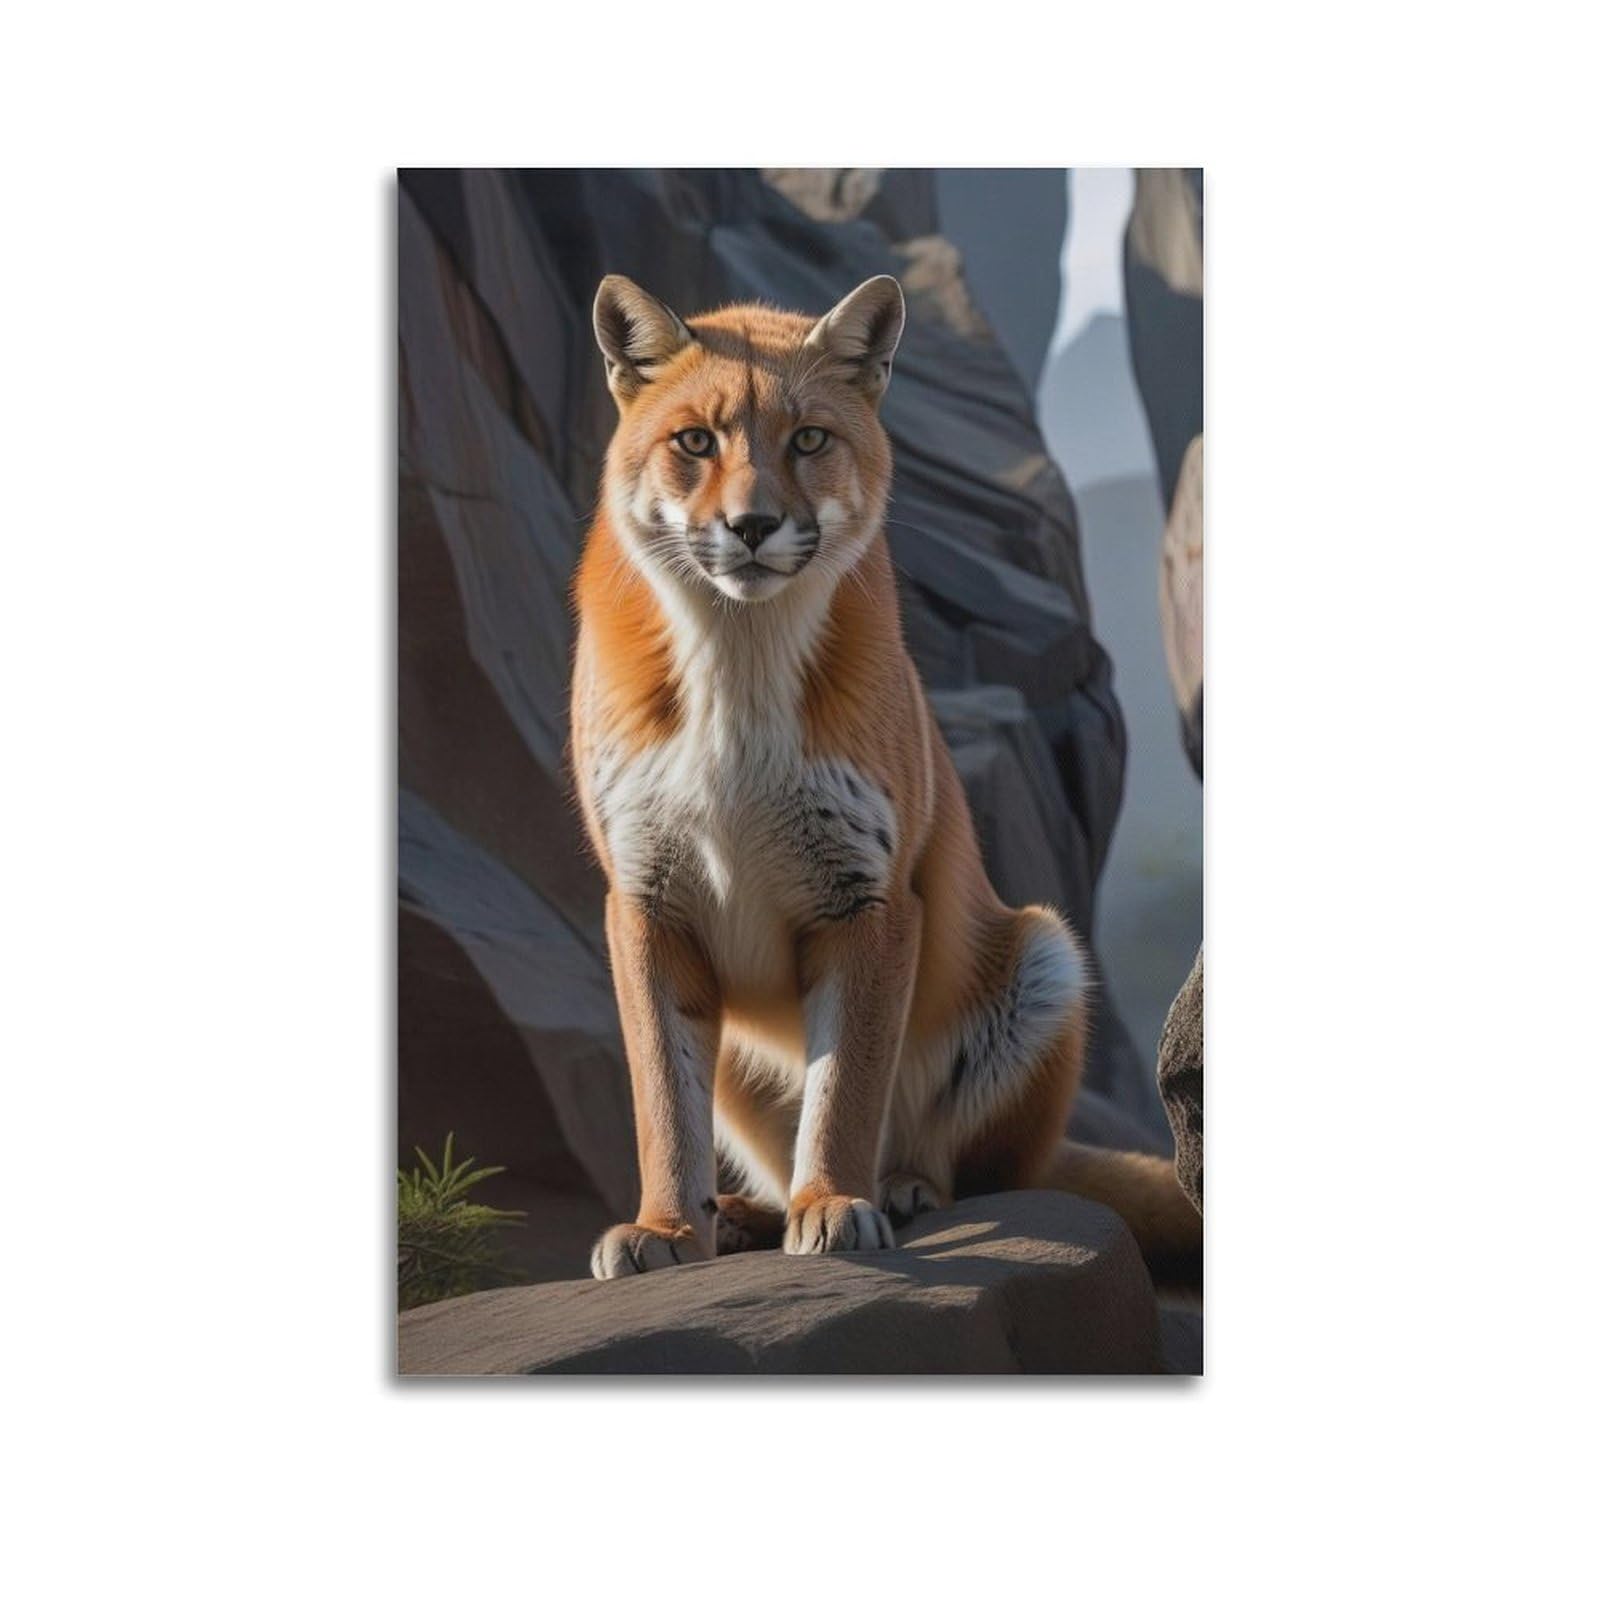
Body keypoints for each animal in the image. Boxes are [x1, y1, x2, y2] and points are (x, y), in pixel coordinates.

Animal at [571, 271, 1201, 1285]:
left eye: (808, 440)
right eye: (696, 441)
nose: (752, 526)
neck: (736, 696)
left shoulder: (867, 896)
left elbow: (846, 1095)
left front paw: (835, 1203)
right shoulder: (644, 898)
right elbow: (664, 1109)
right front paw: (665, 1226)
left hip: (1045, 958)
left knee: (967, 1168)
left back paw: (898, 1189)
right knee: (764, 1158)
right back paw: (743, 1214)